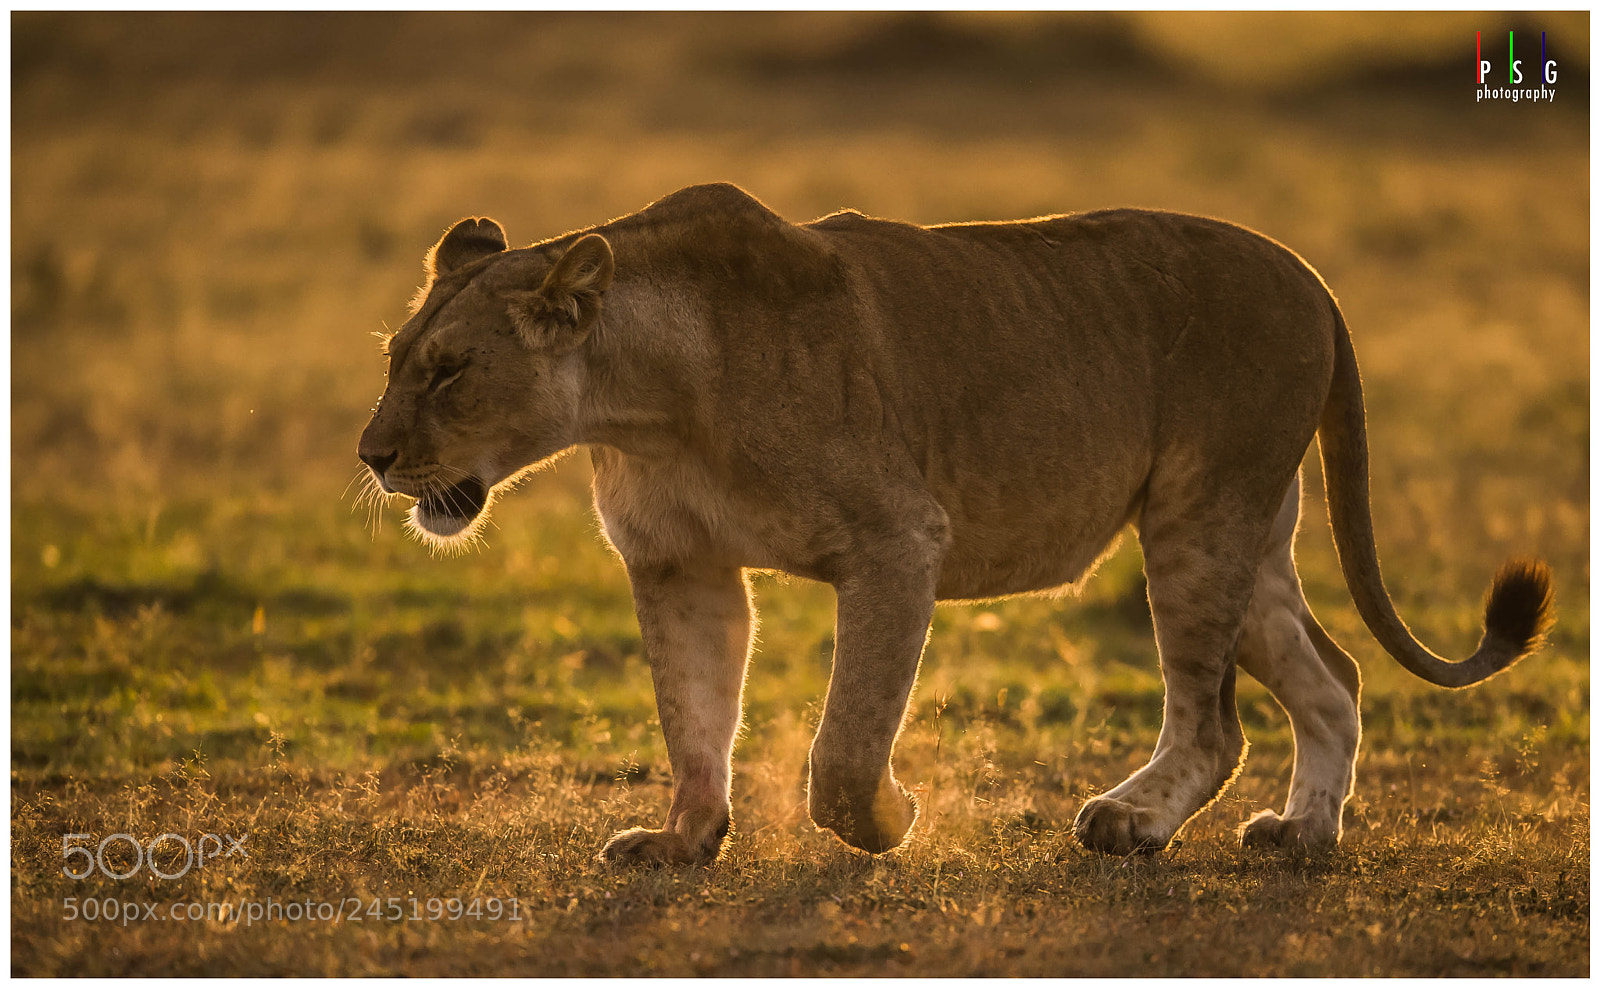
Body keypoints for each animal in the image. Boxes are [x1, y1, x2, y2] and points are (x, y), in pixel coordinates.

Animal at [358, 182, 1553, 863]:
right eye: (395, 360)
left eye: (450, 371)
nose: (370, 455)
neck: (645, 402)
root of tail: (1311, 276)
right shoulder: (679, 565)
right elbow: (694, 715)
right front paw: (685, 840)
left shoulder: (896, 541)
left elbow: (844, 747)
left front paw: (892, 816)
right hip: (1245, 532)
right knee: (1332, 676)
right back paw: (1304, 834)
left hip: (1198, 516)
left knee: (1214, 722)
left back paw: (1130, 826)